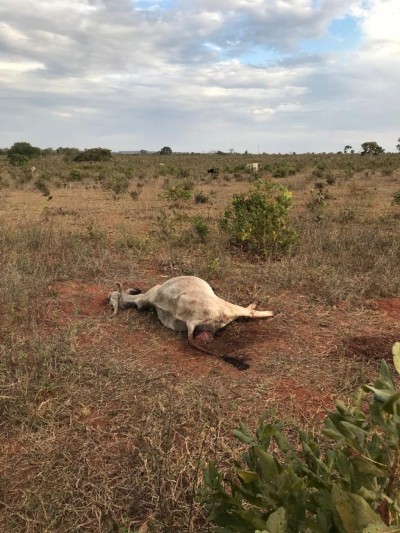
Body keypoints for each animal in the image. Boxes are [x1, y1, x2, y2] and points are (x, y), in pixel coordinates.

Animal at [107, 276, 276, 368]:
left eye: (112, 298)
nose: (108, 296)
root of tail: (191, 321)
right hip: (224, 306)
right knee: (249, 313)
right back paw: (266, 310)